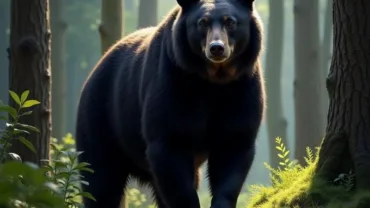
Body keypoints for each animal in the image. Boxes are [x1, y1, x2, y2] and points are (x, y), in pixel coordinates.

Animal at [76, 0, 266, 207]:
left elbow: (233, 148)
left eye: (230, 22)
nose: (216, 48)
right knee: (99, 178)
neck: (213, 80)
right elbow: (170, 145)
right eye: (202, 23)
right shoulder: (173, 83)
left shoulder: (242, 90)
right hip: (102, 119)